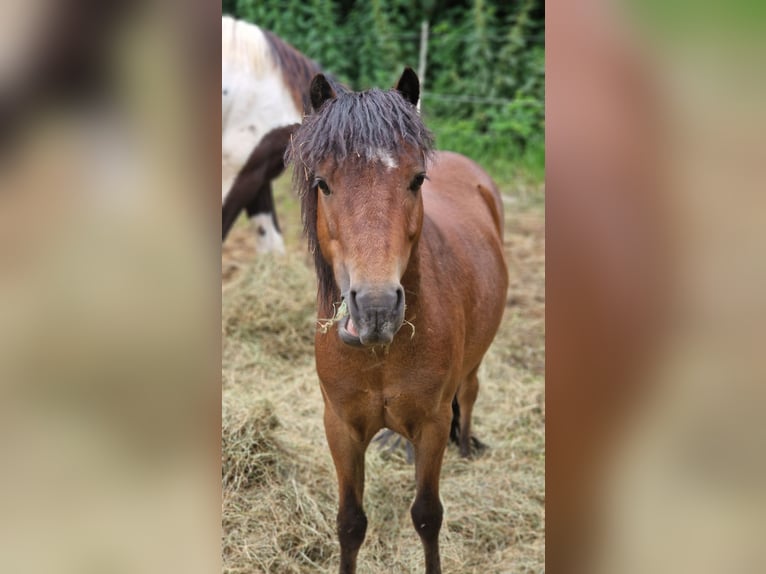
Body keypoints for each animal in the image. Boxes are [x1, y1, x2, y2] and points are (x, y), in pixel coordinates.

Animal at [288, 70, 510, 572]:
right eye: (323, 183)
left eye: (416, 179)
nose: (376, 308)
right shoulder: (341, 428)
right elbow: (350, 523)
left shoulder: (431, 424)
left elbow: (427, 516)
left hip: (472, 368)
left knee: (469, 395)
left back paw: (466, 447)